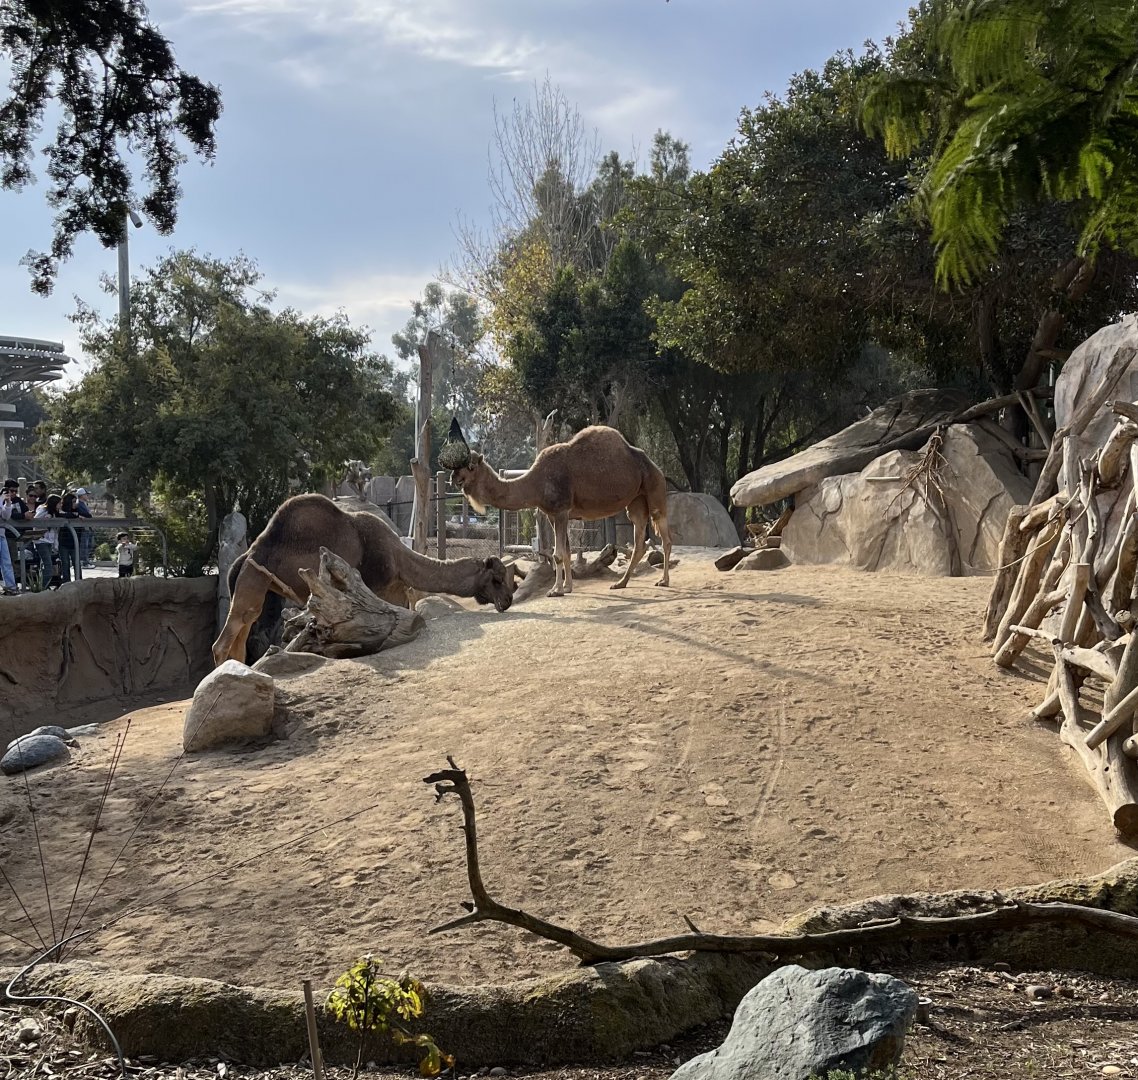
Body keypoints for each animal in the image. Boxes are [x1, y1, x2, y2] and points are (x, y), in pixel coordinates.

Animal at [212, 493, 515, 666]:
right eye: (497, 579)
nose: (508, 600)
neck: (399, 557)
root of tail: (245, 555)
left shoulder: (394, 592)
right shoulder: (376, 588)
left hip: (258, 583)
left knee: (244, 627)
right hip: (253, 576)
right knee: (227, 636)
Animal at [449, 424, 673, 597]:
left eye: (470, 466)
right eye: (457, 467)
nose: (454, 478)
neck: (536, 483)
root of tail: (655, 466)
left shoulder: (561, 511)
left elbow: (557, 554)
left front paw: (555, 590)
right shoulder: (552, 514)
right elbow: (566, 552)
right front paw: (567, 587)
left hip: (655, 489)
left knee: (665, 537)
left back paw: (664, 581)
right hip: (636, 501)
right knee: (639, 538)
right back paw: (620, 583)